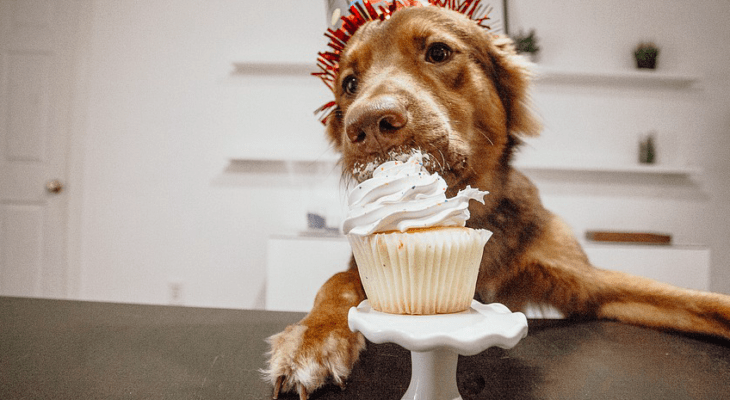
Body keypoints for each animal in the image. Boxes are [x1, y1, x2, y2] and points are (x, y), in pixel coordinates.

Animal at [264, 4, 728, 398]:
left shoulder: (587, 284)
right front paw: (312, 337)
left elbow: (693, 299)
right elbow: (336, 283)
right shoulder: (364, 265)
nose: (368, 125)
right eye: (349, 84)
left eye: (437, 51)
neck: (470, 218)